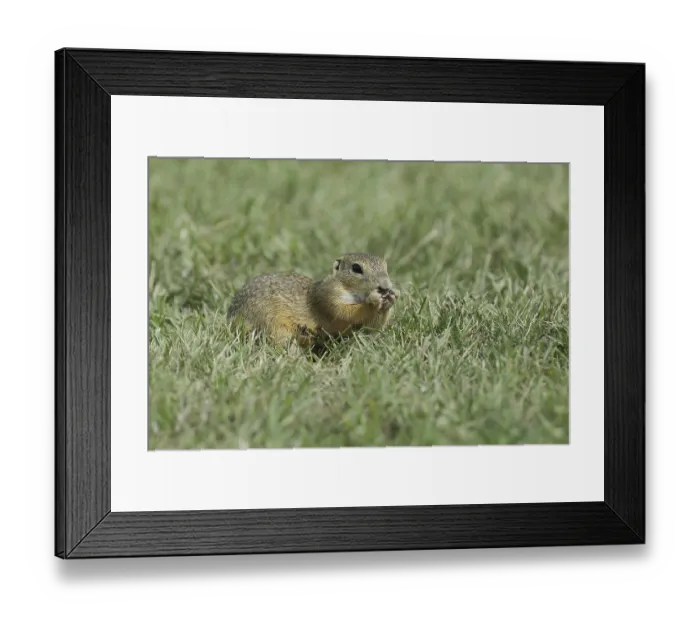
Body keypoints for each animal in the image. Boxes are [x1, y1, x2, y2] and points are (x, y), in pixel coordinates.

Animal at [227, 252, 399, 346]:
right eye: (356, 268)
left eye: (386, 266)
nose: (385, 286)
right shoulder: (327, 296)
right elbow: (344, 312)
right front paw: (373, 300)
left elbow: (372, 327)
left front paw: (392, 297)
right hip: (272, 324)